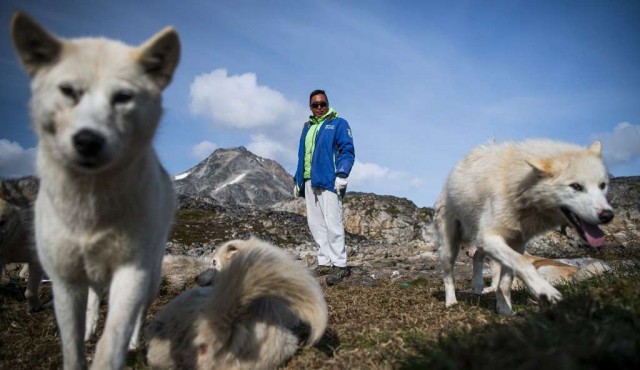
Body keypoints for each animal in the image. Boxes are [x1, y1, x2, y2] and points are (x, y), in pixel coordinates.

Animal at [10, 12, 179, 370]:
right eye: (68, 91)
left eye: (123, 97)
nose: (88, 140)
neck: (91, 207)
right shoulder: (65, 280)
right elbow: (72, 345)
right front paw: (84, 335)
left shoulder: (132, 273)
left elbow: (113, 338)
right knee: (93, 301)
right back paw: (90, 326)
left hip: (151, 275)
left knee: (138, 314)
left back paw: (135, 340)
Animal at [438, 139, 612, 316]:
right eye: (575, 186)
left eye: (602, 185)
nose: (607, 215)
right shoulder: (489, 237)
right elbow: (521, 264)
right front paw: (544, 290)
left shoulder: (517, 242)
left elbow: (506, 281)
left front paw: (505, 310)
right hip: (451, 247)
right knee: (449, 276)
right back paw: (452, 301)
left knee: (478, 258)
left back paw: (478, 284)